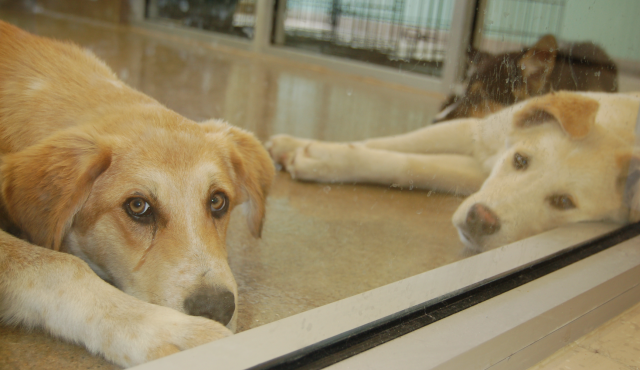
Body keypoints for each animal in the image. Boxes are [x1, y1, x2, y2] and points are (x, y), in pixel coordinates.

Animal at [270, 91, 640, 251]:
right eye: (520, 160)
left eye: (564, 202)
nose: (481, 219)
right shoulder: (474, 132)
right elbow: (390, 144)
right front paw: (313, 149)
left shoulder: (476, 174)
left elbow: (412, 166)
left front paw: (317, 156)